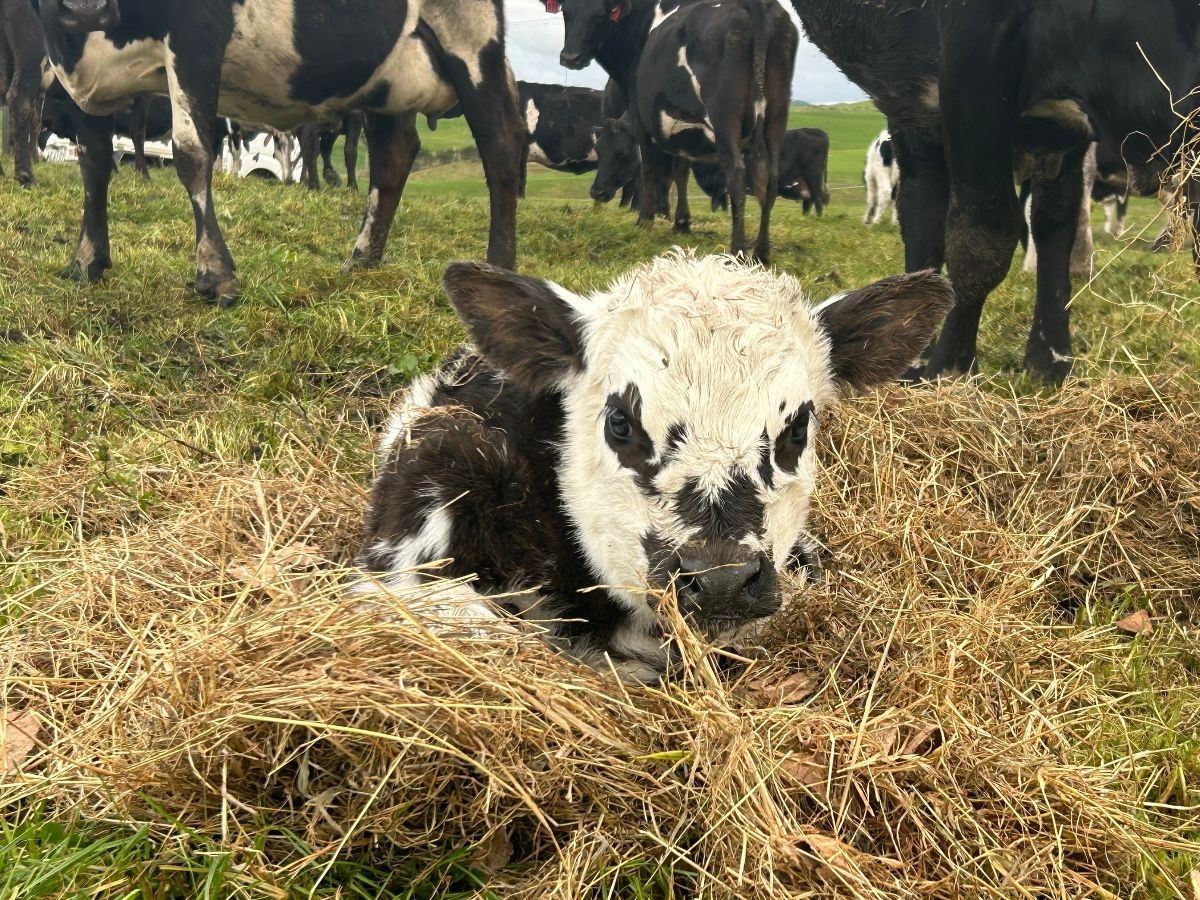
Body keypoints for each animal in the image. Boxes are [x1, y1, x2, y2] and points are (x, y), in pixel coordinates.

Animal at [35, 0, 523, 304]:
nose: (84, 10)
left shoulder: (197, 38)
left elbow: (191, 155)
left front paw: (215, 272)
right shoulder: (83, 79)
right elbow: (94, 165)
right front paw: (87, 260)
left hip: (472, 42)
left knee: (500, 147)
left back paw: (499, 272)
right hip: (389, 76)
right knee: (394, 155)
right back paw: (362, 261)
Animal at [550, 0, 799, 262]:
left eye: (600, 16)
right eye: (566, 12)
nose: (570, 57)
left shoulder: (641, 118)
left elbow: (649, 169)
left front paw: (645, 220)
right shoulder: (685, 128)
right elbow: (680, 171)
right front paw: (681, 223)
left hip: (724, 116)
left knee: (736, 175)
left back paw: (737, 252)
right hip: (777, 114)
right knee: (771, 178)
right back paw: (762, 252)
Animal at [789, 0, 1200, 383]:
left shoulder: (1069, 137)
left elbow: (1055, 229)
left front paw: (1049, 362)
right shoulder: (972, 57)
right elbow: (983, 237)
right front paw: (949, 369)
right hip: (908, 99)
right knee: (922, 215)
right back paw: (915, 354)